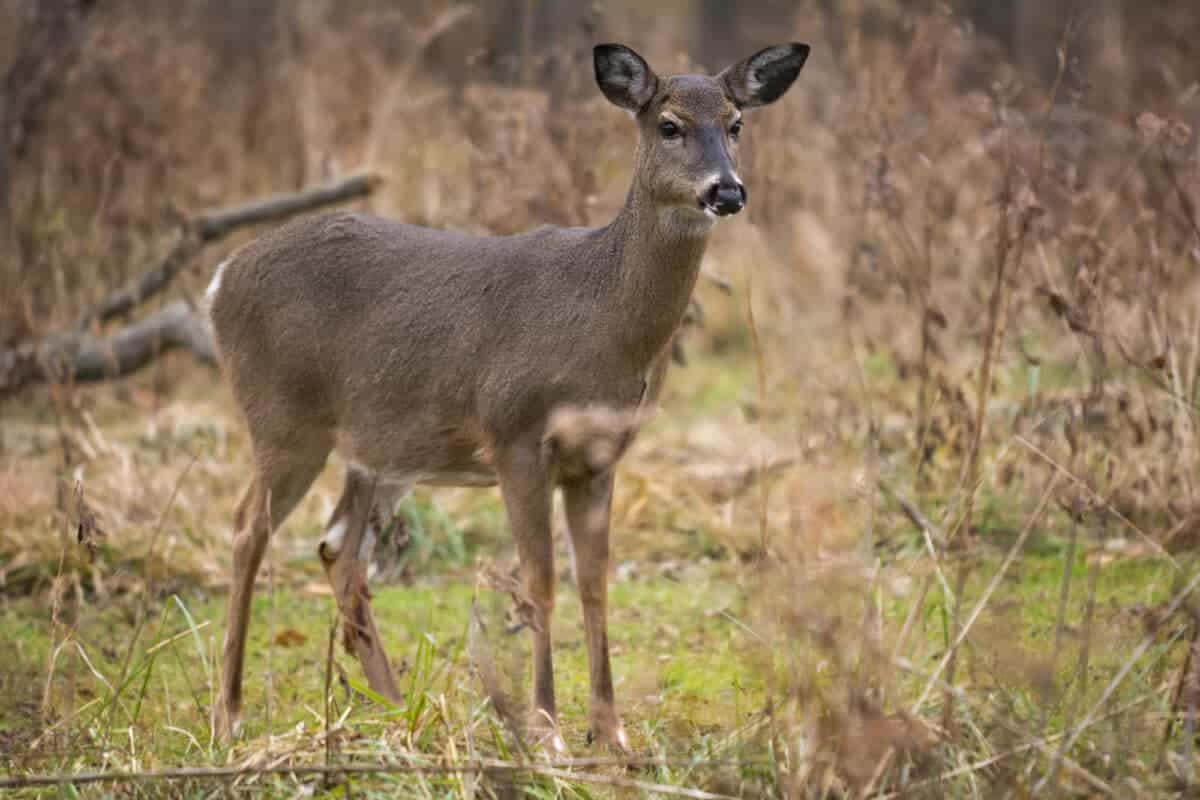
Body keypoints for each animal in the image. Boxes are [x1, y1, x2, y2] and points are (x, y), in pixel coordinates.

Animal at [208, 38, 806, 753]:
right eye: (669, 125)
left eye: (736, 123)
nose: (727, 190)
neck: (603, 319)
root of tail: (219, 282)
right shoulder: (516, 432)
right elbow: (539, 579)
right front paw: (547, 730)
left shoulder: (599, 455)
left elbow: (594, 583)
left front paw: (611, 732)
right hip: (283, 416)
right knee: (248, 527)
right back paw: (230, 715)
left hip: (381, 448)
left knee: (339, 547)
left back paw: (394, 708)